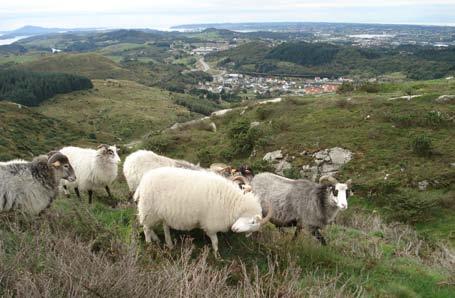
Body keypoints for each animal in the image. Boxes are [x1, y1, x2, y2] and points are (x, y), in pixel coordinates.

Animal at [134, 168, 272, 256]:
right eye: (253, 222)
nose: (235, 229)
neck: (233, 204)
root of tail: (143, 181)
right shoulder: (211, 225)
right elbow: (215, 242)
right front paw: (217, 256)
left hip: (159, 213)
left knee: (161, 228)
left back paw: (167, 244)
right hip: (148, 209)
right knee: (146, 228)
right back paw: (149, 245)